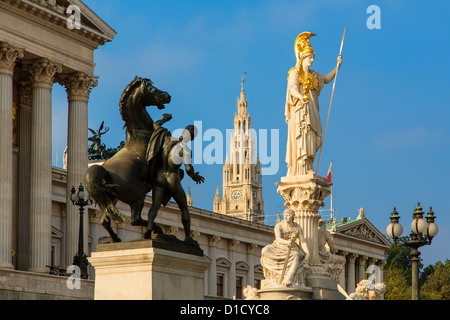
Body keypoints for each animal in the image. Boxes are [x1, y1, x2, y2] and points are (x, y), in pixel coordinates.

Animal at [84, 77, 171, 242]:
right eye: (152, 89)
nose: (167, 95)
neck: (139, 133)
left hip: (111, 199)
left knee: (105, 221)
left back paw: (116, 239)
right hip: (138, 195)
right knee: (135, 220)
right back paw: (154, 230)